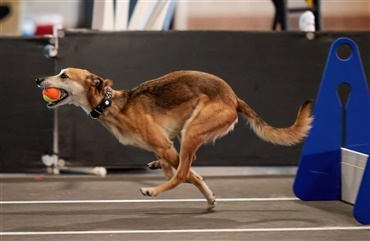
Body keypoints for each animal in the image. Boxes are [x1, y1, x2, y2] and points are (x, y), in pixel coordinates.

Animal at [35, 68, 312, 209]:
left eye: (63, 76)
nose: (38, 79)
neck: (111, 104)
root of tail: (233, 97)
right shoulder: (164, 146)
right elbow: (179, 169)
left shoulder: (164, 145)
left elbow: (185, 174)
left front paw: (203, 191)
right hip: (185, 132)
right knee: (185, 165)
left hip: (191, 131)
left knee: (182, 172)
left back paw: (153, 190)